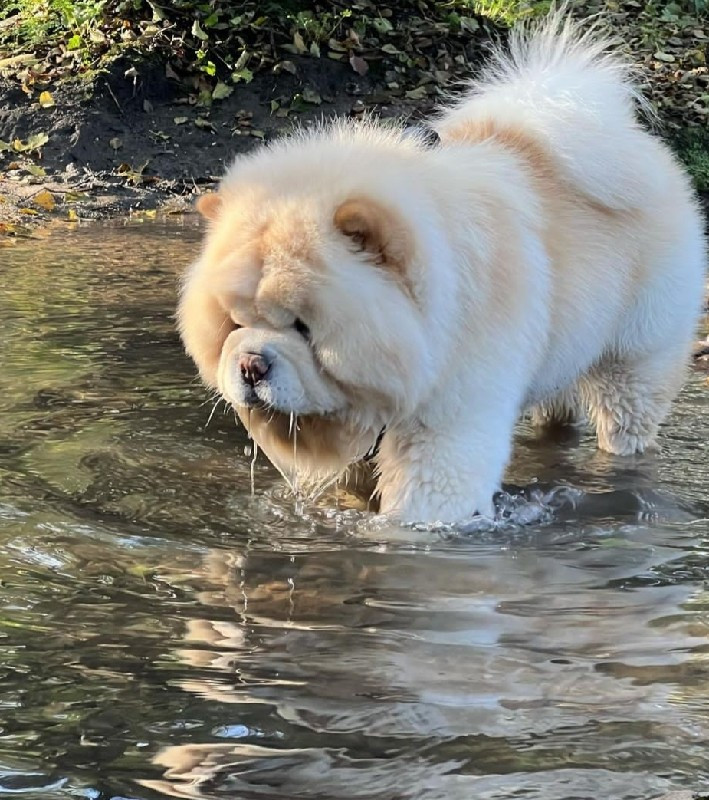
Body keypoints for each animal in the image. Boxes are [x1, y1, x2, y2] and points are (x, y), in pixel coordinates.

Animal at [176, 15, 704, 524]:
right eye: (235, 323)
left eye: (305, 327)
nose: (251, 364)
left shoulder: (449, 419)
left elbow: (427, 499)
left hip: (635, 357)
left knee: (627, 415)